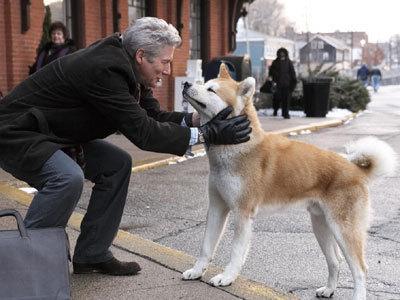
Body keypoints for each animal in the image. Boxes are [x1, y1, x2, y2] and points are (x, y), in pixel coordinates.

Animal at [181, 63, 396, 300]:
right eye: (204, 83)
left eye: (211, 89)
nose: (186, 83)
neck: (236, 147)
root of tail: (355, 169)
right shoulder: (217, 208)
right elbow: (205, 247)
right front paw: (196, 271)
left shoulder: (242, 214)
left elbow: (236, 253)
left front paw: (227, 277)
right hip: (321, 226)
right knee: (335, 262)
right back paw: (328, 290)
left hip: (344, 230)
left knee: (359, 269)